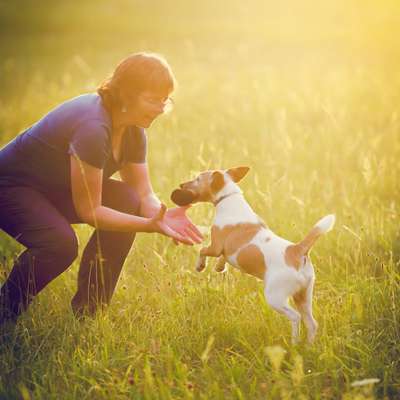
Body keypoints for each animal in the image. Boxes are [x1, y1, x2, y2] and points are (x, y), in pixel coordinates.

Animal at [171, 166, 334, 344]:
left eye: (198, 179)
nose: (181, 184)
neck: (228, 196)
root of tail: (297, 250)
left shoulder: (216, 246)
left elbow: (203, 250)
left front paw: (200, 266)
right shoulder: (226, 249)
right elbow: (224, 257)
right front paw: (220, 267)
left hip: (275, 297)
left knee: (295, 317)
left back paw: (294, 342)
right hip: (304, 296)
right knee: (311, 323)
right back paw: (309, 346)